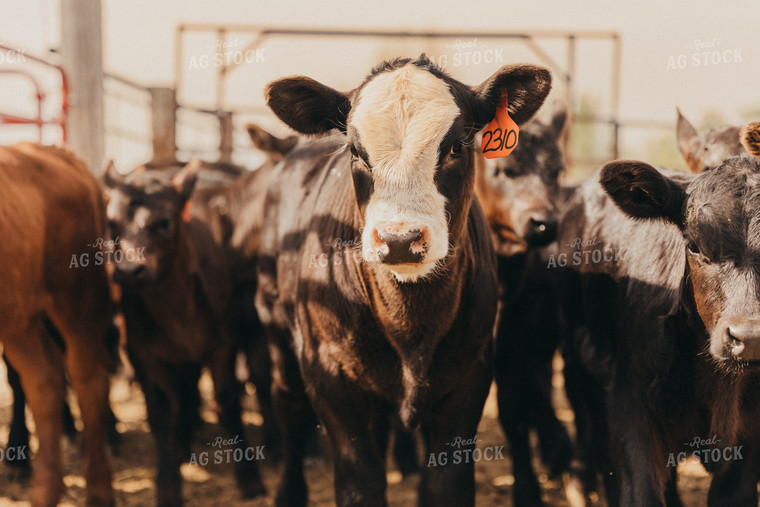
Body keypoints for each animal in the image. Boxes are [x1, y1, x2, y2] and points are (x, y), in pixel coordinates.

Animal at [0, 143, 114, 507]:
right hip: (18, 319)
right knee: (43, 380)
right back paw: (44, 491)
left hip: (77, 302)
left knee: (87, 379)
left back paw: (99, 491)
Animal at [102, 161, 266, 506]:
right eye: (111, 222)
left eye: (164, 221)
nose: (129, 271)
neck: (176, 309)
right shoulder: (141, 352)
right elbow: (162, 410)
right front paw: (168, 484)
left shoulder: (222, 344)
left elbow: (227, 400)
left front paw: (249, 476)